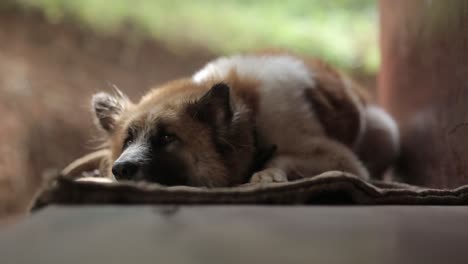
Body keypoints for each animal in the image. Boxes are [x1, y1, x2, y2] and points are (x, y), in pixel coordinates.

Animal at [91, 52, 398, 187]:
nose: (120, 170)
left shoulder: (343, 161)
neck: (250, 115)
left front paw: (267, 172)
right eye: (127, 141)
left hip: (386, 131)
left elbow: (281, 157)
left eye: (167, 137)